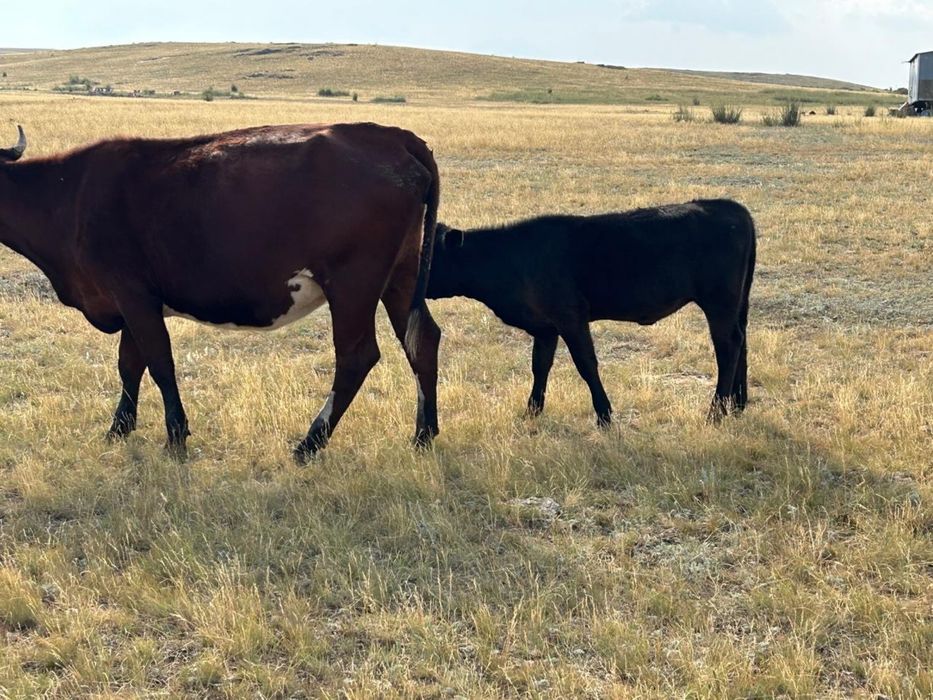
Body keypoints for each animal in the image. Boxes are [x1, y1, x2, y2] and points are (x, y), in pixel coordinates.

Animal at [0, 123, 441, 463]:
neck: (68, 197)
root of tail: (388, 135)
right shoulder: (132, 302)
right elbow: (130, 365)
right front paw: (119, 429)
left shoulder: (133, 294)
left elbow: (159, 363)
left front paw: (175, 436)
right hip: (401, 275)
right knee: (423, 341)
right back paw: (424, 434)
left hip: (353, 283)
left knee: (356, 356)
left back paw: (309, 443)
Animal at [426, 200, 756, 426]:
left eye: (429, 254)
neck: (510, 258)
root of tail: (728, 206)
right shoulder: (545, 327)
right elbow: (539, 366)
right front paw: (532, 412)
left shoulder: (570, 316)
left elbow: (586, 364)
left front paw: (604, 416)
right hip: (737, 304)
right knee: (741, 341)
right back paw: (738, 404)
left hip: (719, 302)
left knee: (728, 346)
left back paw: (716, 412)